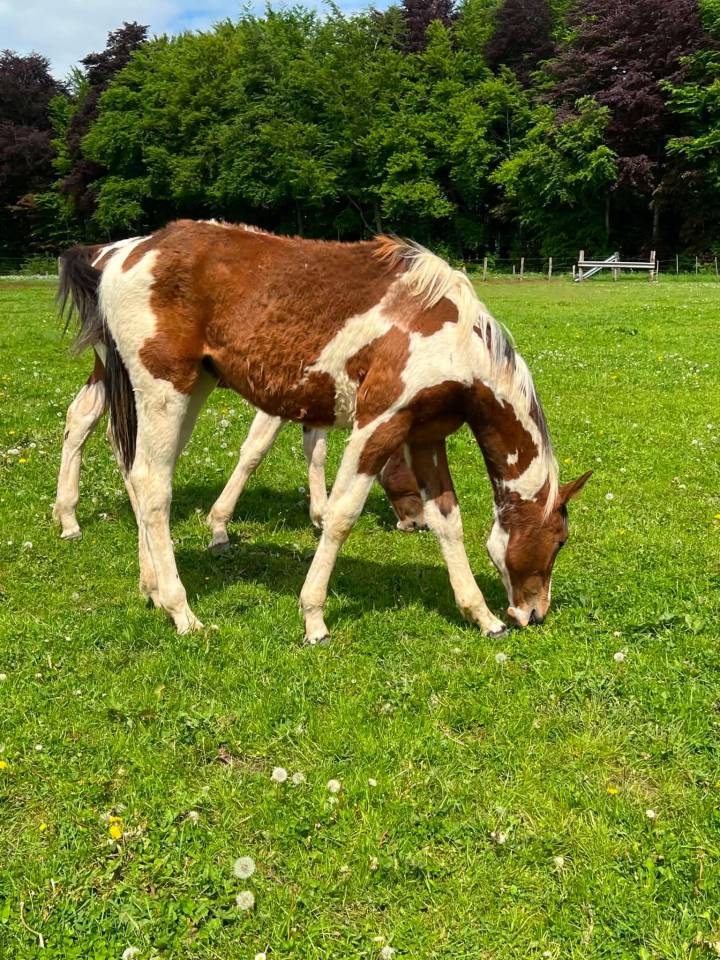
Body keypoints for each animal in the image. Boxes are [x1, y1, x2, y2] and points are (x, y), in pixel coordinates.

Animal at [58, 220, 591, 641]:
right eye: (560, 540)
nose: (534, 613)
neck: (455, 339)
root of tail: (121, 254)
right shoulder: (378, 423)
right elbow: (340, 514)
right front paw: (314, 618)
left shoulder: (425, 435)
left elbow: (448, 522)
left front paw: (481, 616)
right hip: (163, 390)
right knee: (150, 485)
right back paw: (180, 610)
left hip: (185, 389)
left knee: (137, 470)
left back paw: (148, 586)